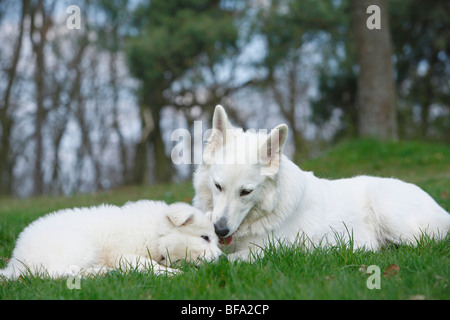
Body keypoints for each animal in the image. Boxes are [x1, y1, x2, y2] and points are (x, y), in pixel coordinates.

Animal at [0, 200, 221, 278]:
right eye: (204, 237)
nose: (222, 260)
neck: (157, 234)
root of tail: (15, 261)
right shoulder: (123, 255)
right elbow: (148, 264)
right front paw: (175, 274)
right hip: (78, 244)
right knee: (55, 272)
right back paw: (100, 273)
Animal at [192, 106, 450, 262]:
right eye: (218, 186)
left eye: (246, 192)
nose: (220, 230)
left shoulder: (265, 251)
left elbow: (224, 260)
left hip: (391, 214)